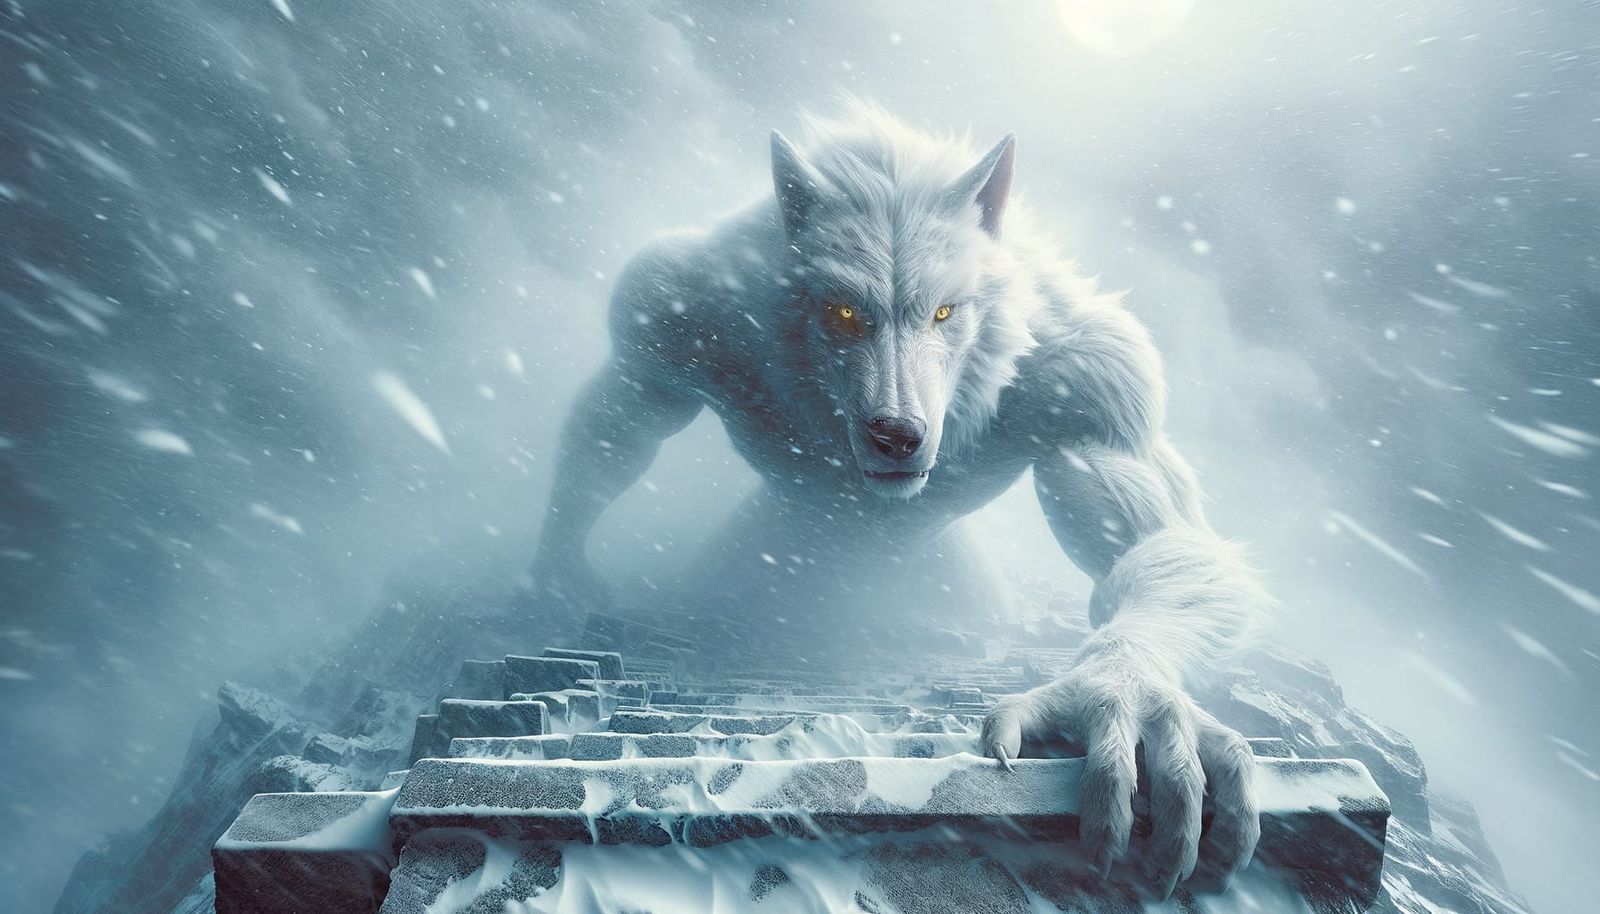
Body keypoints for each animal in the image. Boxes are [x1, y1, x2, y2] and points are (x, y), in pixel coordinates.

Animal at [532, 104, 1269, 896]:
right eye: (843, 313)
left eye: (946, 312)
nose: (897, 434)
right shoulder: (671, 318)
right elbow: (632, 408)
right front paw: (555, 570)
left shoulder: (1095, 385)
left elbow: (1154, 538)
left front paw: (1121, 689)